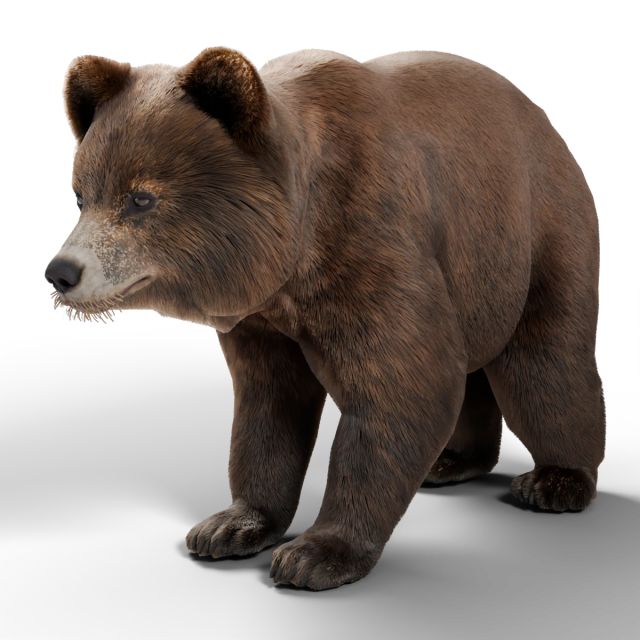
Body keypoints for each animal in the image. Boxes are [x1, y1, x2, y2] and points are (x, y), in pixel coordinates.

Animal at [45, 47, 606, 589]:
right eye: (81, 194)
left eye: (141, 198)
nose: (61, 272)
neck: (294, 255)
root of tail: (544, 121)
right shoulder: (262, 323)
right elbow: (268, 406)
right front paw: (228, 525)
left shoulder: (369, 241)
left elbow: (403, 384)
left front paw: (314, 554)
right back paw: (453, 459)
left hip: (533, 232)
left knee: (546, 359)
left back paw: (557, 478)